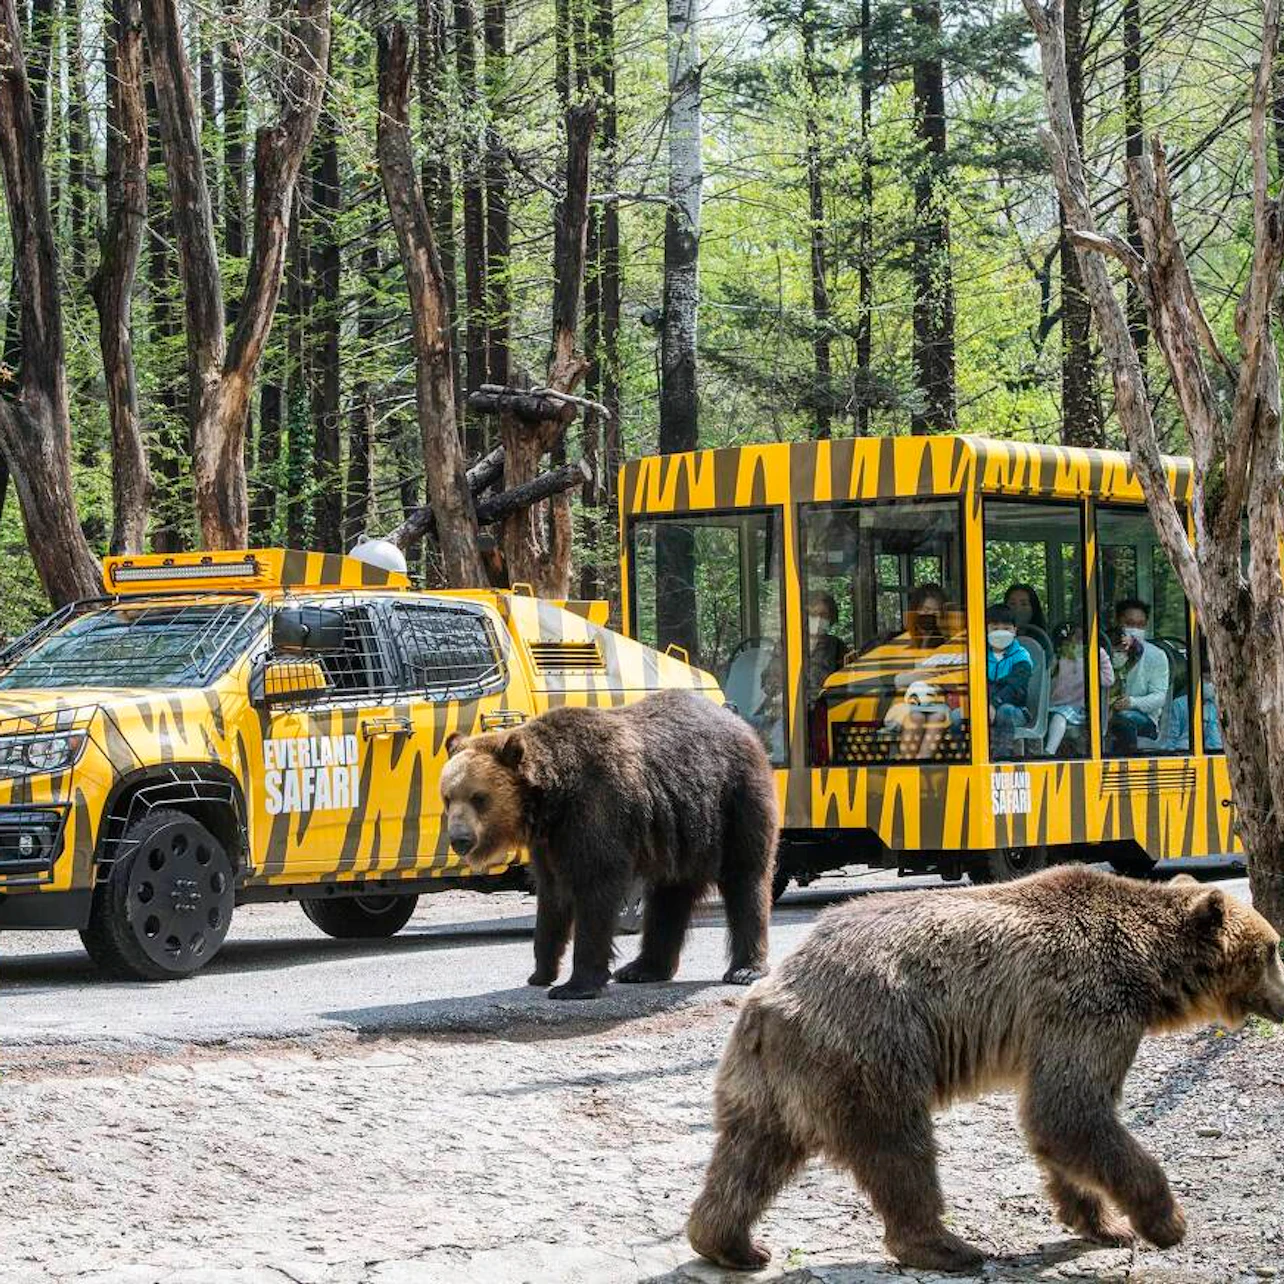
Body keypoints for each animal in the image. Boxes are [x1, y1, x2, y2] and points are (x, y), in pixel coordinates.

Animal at [440, 689, 778, 1000]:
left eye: (478, 797)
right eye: (448, 797)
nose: (459, 839)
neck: (553, 799)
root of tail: (739, 721)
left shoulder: (598, 809)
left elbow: (595, 890)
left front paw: (574, 986)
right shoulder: (551, 841)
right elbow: (551, 898)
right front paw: (540, 973)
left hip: (735, 799)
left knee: (745, 877)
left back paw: (745, 968)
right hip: (682, 829)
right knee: (670, 894)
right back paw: (642, 968)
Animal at [686, 866, 1284, 1273]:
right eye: (1274, 948)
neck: (1150, 973)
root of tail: (773, 996)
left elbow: (1061, 1124)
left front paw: (1102, 1222)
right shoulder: (1086, 1002)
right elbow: (1070, 1110)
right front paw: (1164, 1222)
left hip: (767, 1076)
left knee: (750, 1153)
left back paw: (730, 1243)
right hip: (871, 1046)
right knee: (898, 1147)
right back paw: (945, 1245)